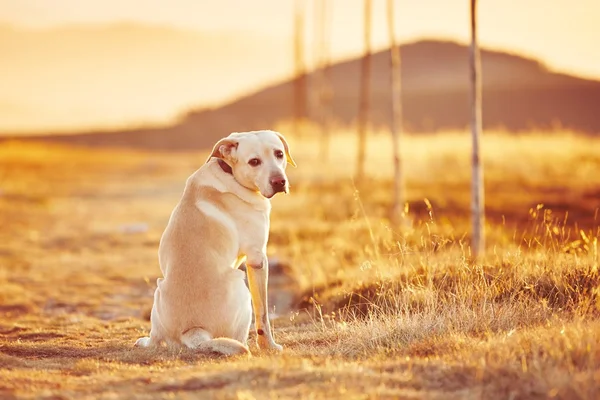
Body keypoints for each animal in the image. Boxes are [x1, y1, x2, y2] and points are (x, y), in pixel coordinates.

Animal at [135, 129, 296, 356]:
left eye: (279, 154)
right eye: (254, 162)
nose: (279, 182)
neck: (230, 174)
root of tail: (193, 330)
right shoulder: (257, 258)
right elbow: (263, 315)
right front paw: (269, 347)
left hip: (158, 291)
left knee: (155, 339)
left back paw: (144, 342)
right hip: (242, 288)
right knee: (240, 337)